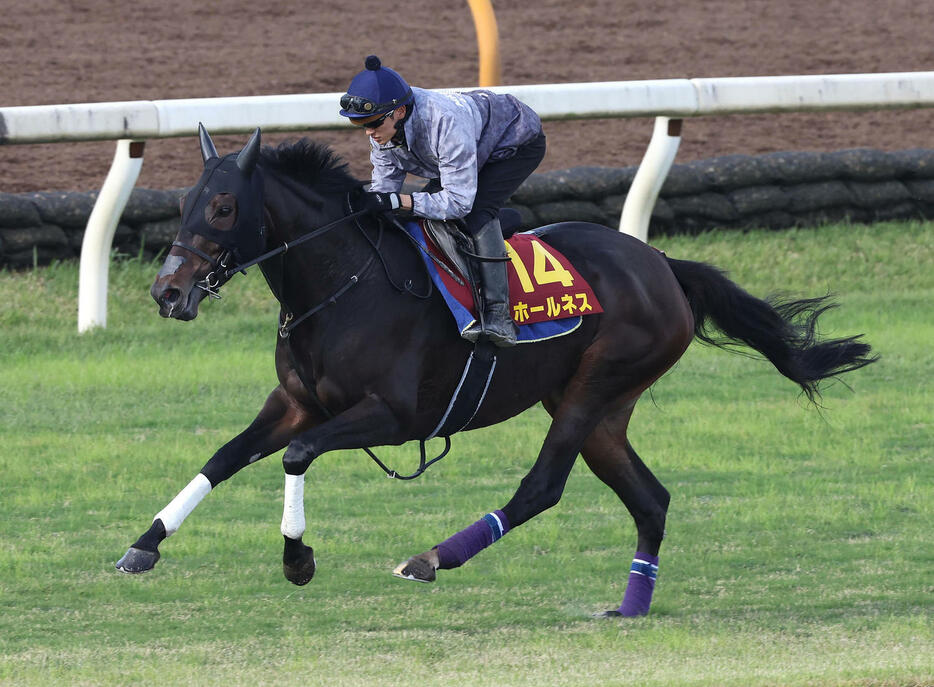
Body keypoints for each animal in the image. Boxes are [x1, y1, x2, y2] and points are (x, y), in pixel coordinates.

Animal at [117, 127, 876, 620]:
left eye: (223, 207)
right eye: (183, 201)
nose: (167, 291)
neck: (342, 284)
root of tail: (663, 264)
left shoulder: (393, 416)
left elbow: (297, 456)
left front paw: (297, 560)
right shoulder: (297, 401)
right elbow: (224, 456)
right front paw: (143, 545)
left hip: (596, 384)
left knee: (543, 486)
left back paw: (432, 557)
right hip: (601, 408)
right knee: (652, 499)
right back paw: (631, 604)